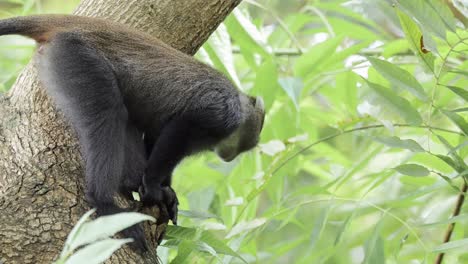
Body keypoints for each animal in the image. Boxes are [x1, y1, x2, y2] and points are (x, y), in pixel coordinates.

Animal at [0, 14, 264, 252]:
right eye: (241, 144)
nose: (229, 156)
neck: (240, 102)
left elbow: (157, 134)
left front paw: (163, 190)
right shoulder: (221, 114)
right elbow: (178, 130)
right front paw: (154, 185)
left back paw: (129, 182)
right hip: (77, 59)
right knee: (110, 113)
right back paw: (103, 200)